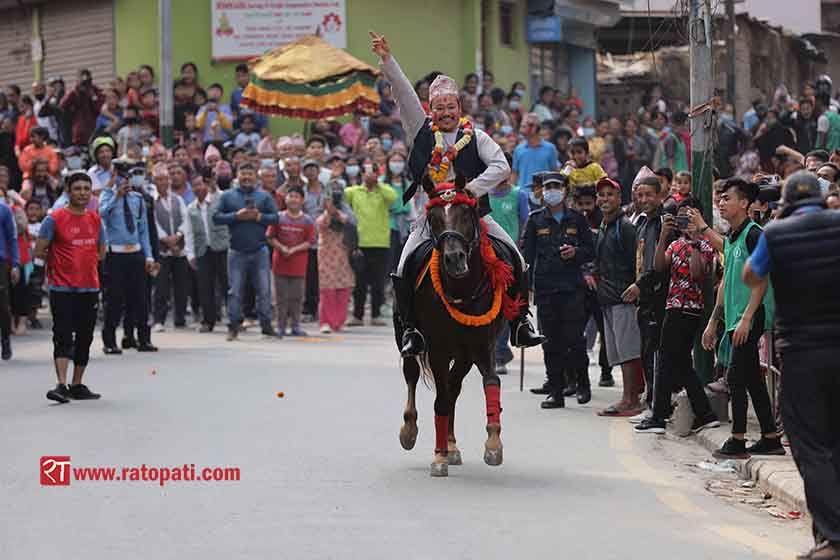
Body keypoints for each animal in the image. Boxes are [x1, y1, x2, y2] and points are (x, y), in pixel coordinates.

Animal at [394, 174, 520, 476]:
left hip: (463, 355)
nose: (454, 259)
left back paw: (451, 445)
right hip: (408, 338)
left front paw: (493, 443)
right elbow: (439, 399)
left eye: (465, 213)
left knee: (453, 388)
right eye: (434, 217)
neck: (463, 288)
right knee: (412, 374)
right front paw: (438, 457)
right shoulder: (438, 350)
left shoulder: (481, 346)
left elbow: (491, 382)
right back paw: (410, 430)